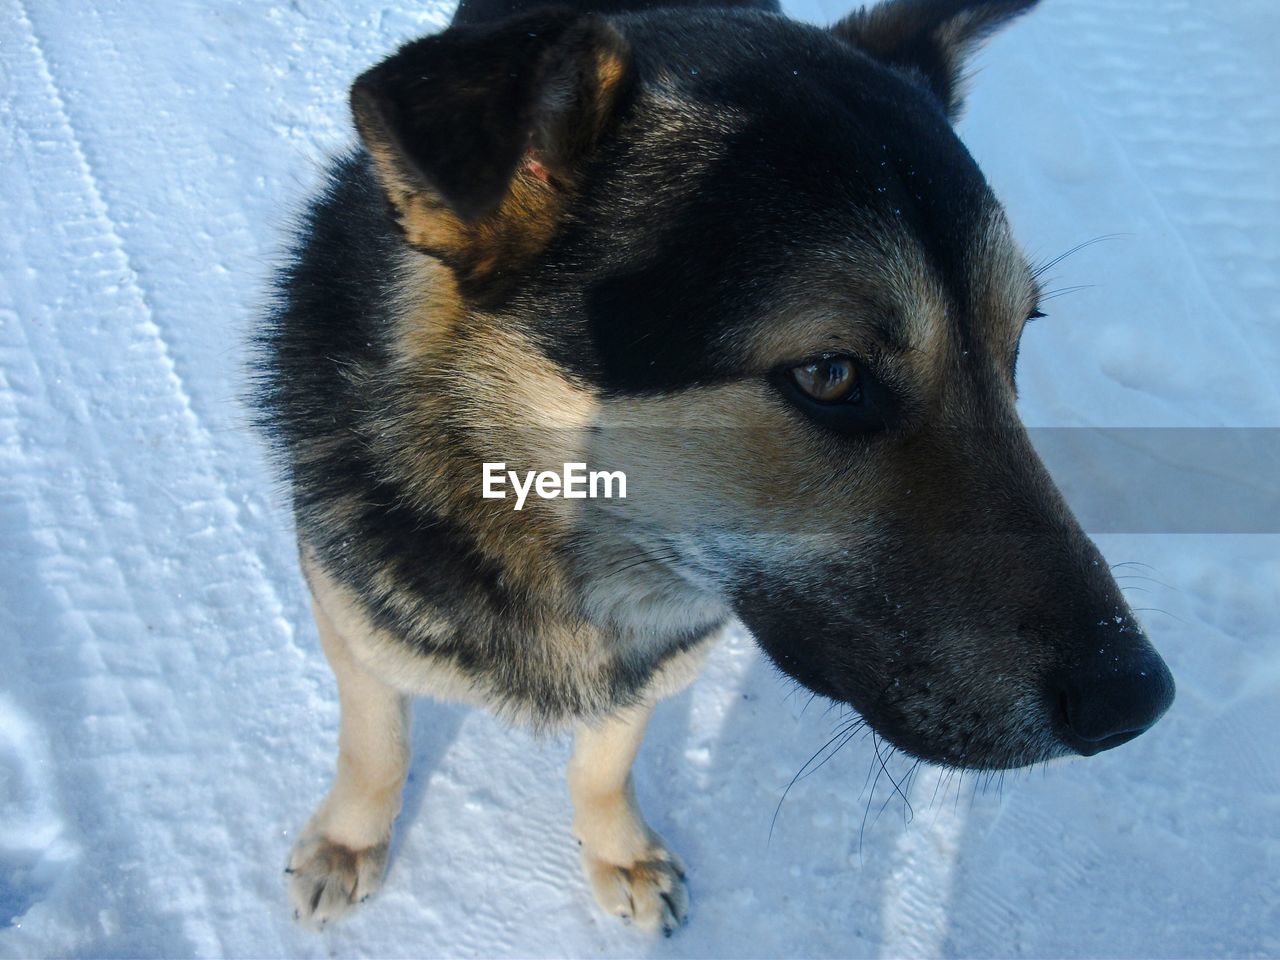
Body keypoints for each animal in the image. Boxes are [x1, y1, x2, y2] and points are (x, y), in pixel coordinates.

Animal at [254, 0, 1172, 942]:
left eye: (1016, 342)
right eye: (828, 374)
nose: (1136, 701)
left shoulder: (662, 648)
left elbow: (605, 758)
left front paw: (617, 847)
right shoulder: (350, 617)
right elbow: (378, 744)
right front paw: (349, 841)